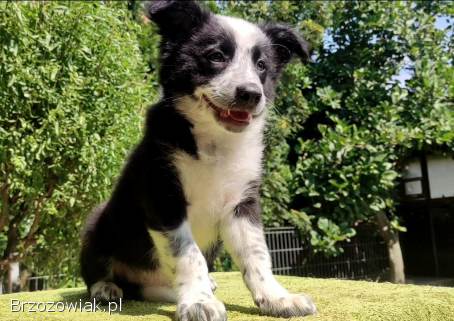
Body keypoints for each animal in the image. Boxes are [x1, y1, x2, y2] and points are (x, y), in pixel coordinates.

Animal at [80, 1, 316, 318]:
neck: (216, 141)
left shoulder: (242, 204)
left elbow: (256, 254)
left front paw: (277, 298)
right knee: (96, 271)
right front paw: (198, 302)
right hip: (96, 226)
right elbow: (189, 255)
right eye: (216, 56)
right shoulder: (164, 197)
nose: (251, 94)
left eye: (262, 65)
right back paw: (105, 288)